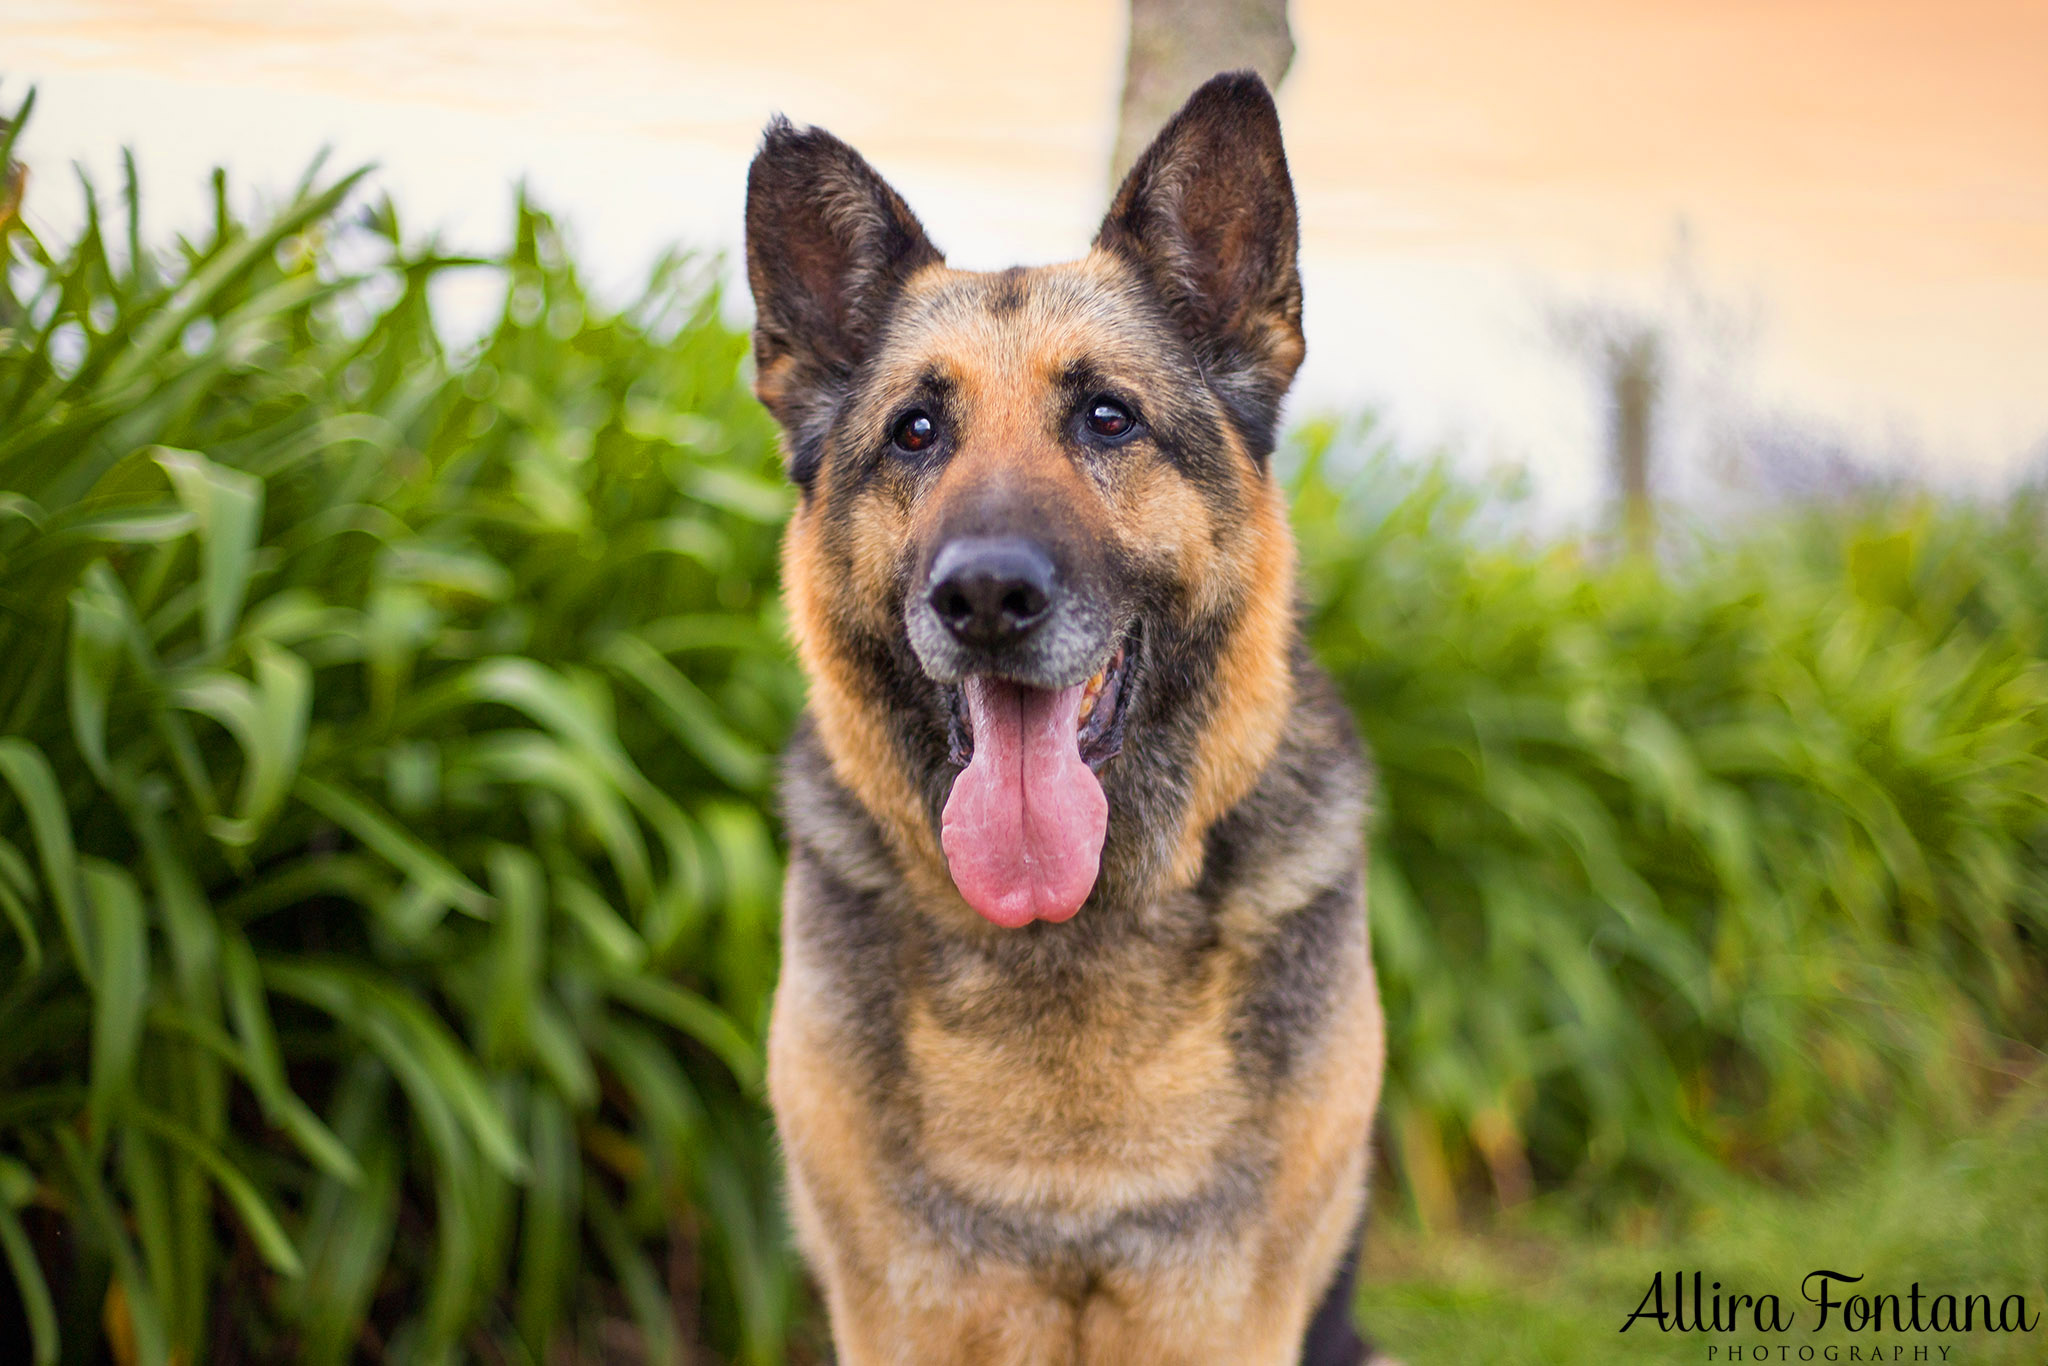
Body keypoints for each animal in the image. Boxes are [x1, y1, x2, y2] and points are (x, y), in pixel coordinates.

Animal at [745, 74, 1384, 1366]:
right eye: (915, 432)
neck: (1067, 931)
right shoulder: (897, 1317)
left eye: (1105, 418)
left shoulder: (1226, 1322)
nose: (985, 596)